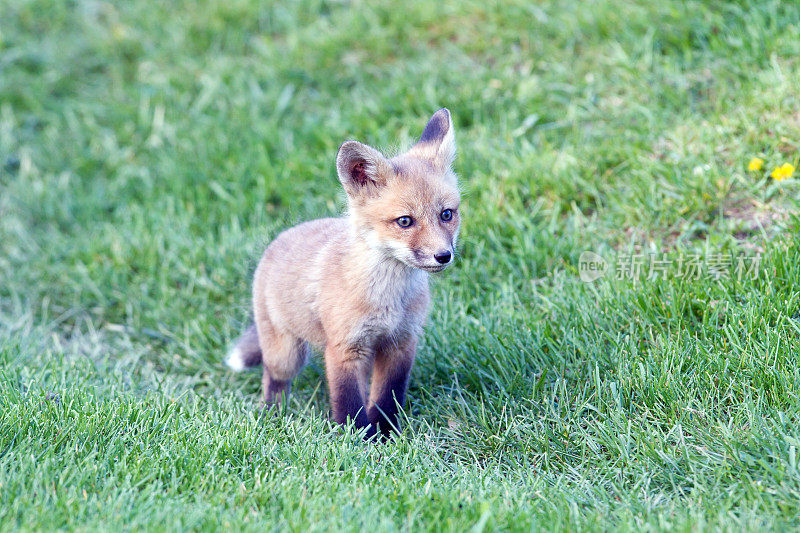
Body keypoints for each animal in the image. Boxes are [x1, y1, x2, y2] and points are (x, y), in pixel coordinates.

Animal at [228, 108, 460, 436]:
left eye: (446, 214)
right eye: (405, 221)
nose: (443, 256)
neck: (388, 299)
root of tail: (279, 239)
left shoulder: (400, 343)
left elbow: (387, 396)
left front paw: (385, 434)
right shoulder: (344, 347)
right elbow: (348, 402)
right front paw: (356, 438)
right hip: (287, 354)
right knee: (273, 377)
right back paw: (272, 414)